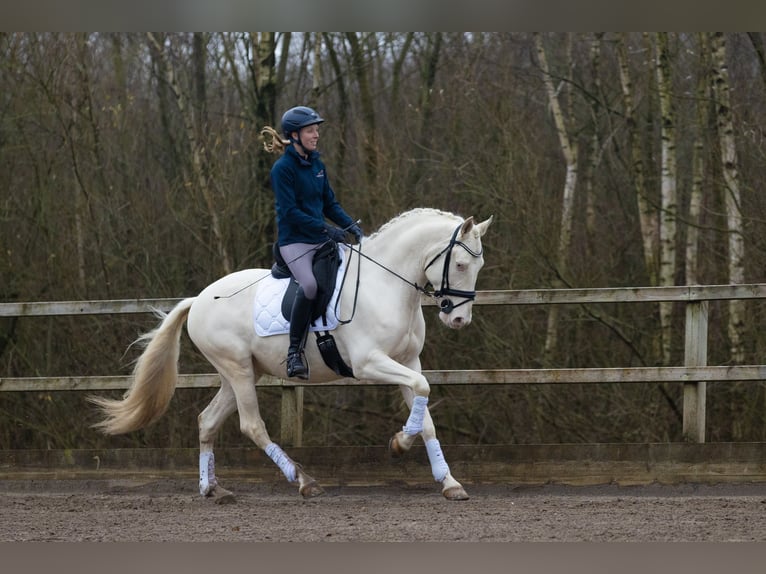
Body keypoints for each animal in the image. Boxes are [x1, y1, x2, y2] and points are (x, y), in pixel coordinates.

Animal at [88, 209, 492, 502]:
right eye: (459, 264)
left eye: (479, 267)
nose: (458, 319)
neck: (386, 284)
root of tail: (198, 299)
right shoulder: (370, 363)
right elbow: (422, 393)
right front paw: (399, 444)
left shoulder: (408, 362)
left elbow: (425, 413)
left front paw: (449, 482)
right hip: (238, 370)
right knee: (251, 426)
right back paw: (303, 480)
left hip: (239, 373)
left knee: (207, 421)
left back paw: (212, 488)